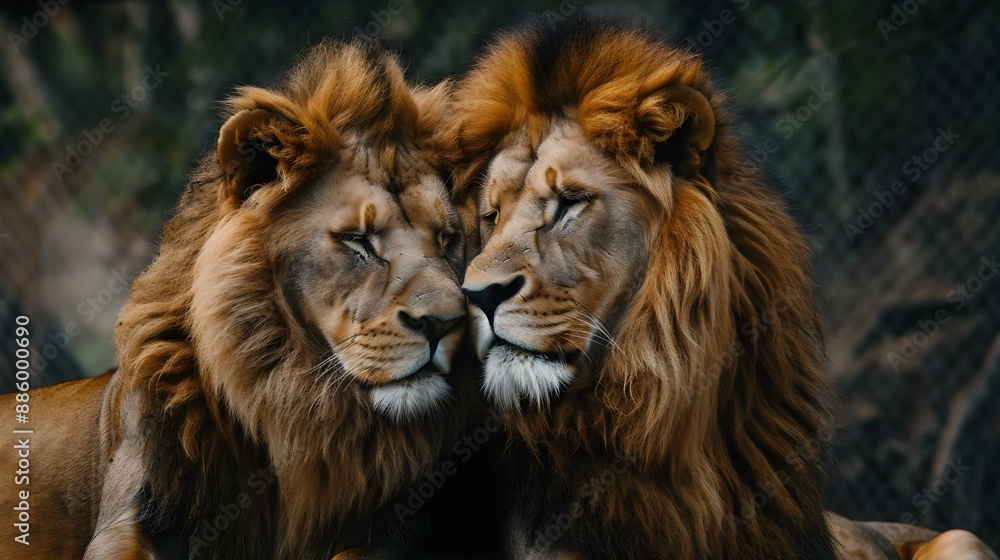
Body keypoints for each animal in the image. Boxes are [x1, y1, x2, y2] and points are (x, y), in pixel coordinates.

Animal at [0, 38, 479, 559]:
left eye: (447, 239)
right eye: (358, 240)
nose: (444, 323)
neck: (299, 400)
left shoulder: (406, 528)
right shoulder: (132, 517)